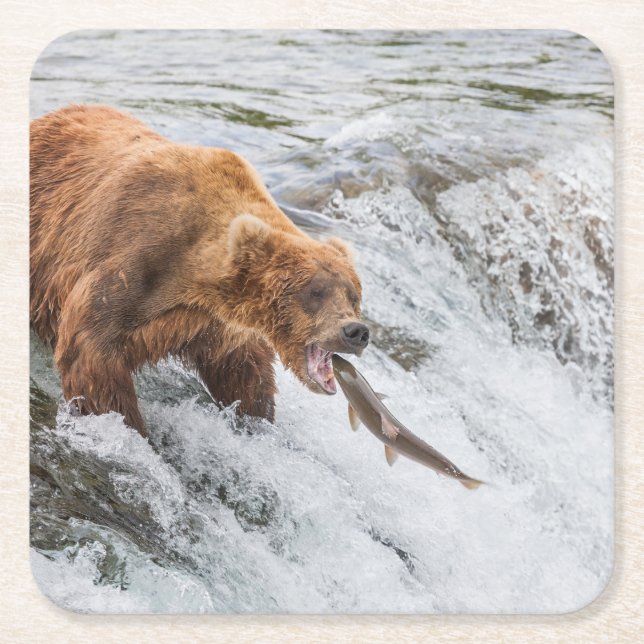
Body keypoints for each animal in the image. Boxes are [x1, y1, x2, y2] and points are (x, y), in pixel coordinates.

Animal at [30, 104, 369, 436]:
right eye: (315, 292)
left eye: (353, 296)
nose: (356, 331)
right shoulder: (131, 262)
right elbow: (91, 353)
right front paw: (129, 425)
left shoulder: (215, 324)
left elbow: (244, 372)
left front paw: (256, 418)